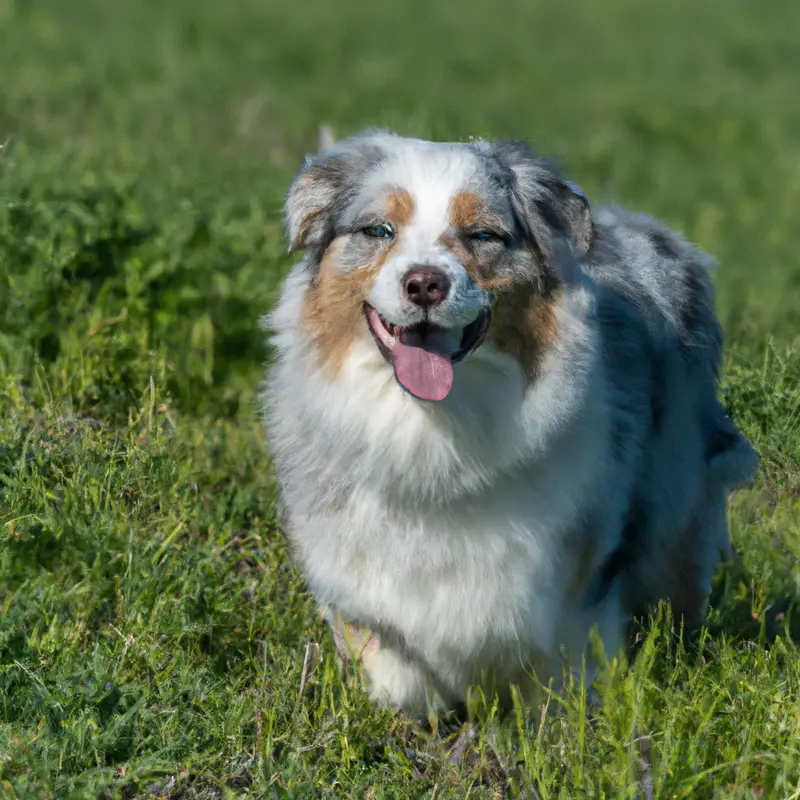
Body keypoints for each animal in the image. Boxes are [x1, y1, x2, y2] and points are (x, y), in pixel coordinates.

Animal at [260, 131, 756, 720]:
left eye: (483, 235)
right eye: (378, 231)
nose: (424, 284)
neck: (433, 430)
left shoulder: (574, 576)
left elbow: (558, 680)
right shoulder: (356, 569)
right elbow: (392, 666)